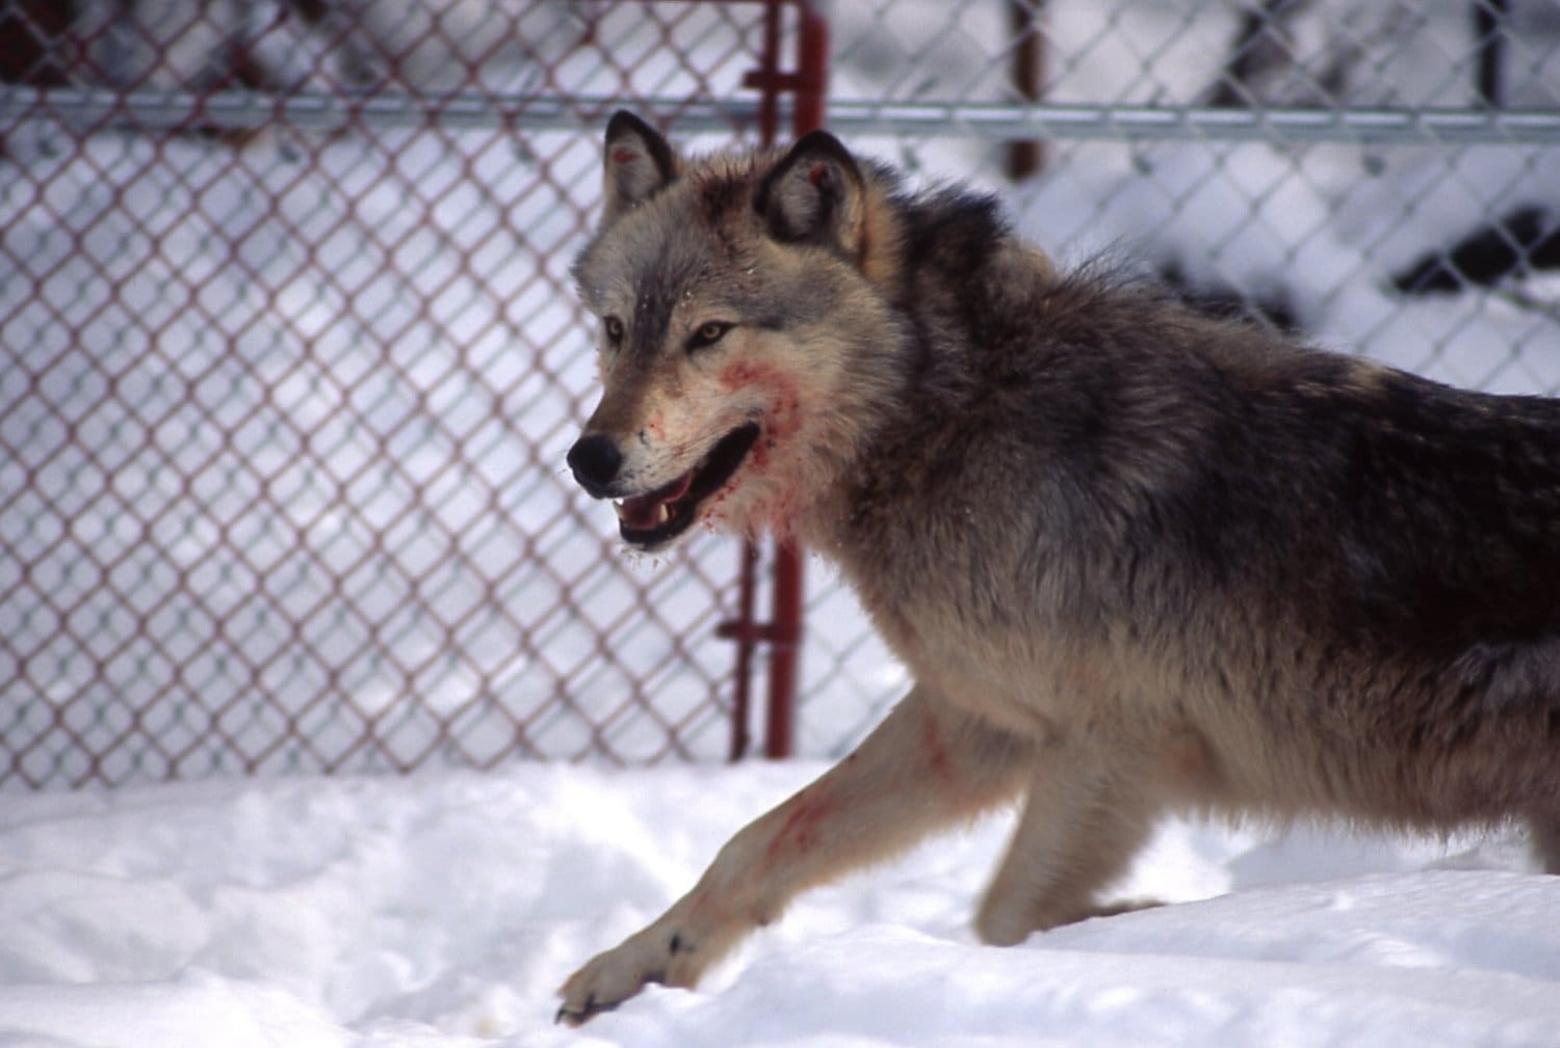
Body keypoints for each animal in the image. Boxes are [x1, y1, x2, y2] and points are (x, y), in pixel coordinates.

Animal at [555, 114, 1553, 1023]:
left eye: (709, 333)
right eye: (615, 329)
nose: (588, 459)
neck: (952, 408)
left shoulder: (1113, 743)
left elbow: (1006, 918)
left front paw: (1145, 932)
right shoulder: (974, 721)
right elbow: (757, 841)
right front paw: (635, 969)